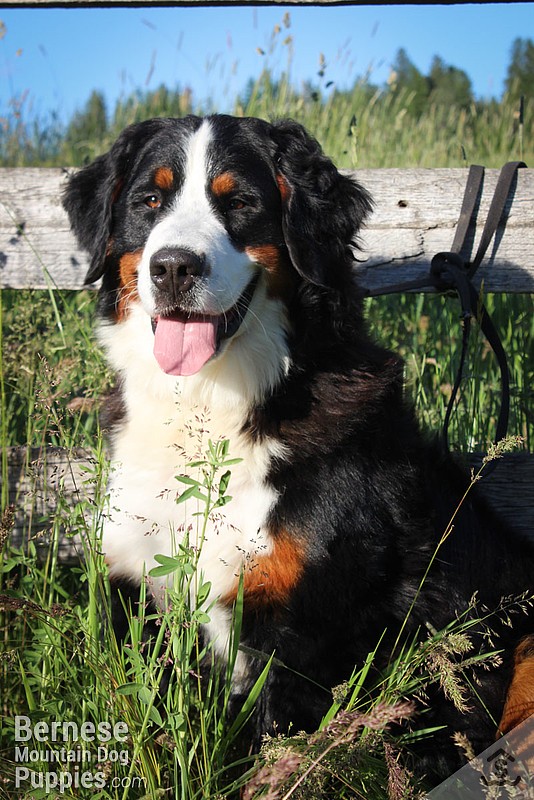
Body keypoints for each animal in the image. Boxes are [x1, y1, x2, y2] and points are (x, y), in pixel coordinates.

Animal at [63, 114, 534, 780]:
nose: (174, 267)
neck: (212, 405)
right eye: (149, 201)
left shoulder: (299, 632)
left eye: (239, 203)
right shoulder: (140, 593)